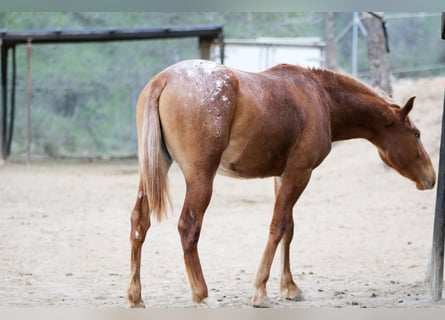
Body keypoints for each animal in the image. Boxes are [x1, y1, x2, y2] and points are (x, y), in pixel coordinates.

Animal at [125, 59, 434, 308]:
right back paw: (202, 295)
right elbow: (278, 227)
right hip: (201, 178)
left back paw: (135, 296)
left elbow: (289, 228)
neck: (318, 96)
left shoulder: (283, 175)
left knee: (140, 223)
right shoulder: (300, 173)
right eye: (417, 134)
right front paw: (261, 292)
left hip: (152, 172)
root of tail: (163, 80)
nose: (431, 177)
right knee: (188, 227)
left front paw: (289, 287)